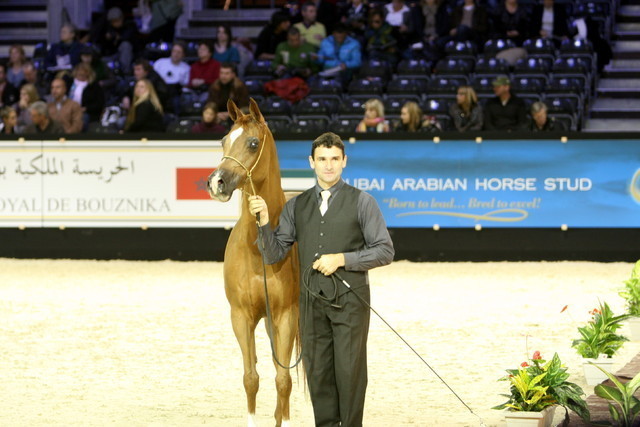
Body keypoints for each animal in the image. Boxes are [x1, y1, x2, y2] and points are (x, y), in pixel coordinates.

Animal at [207, 98, 300, 427]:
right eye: (223, 140)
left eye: (252, 143)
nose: (217, 182)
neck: (258, 247)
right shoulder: (241, 317)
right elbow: (251, 379)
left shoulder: (286, 315)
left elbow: (284, 381)